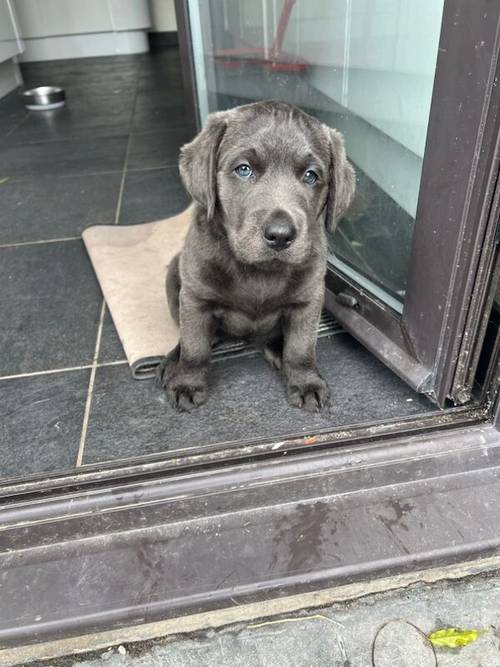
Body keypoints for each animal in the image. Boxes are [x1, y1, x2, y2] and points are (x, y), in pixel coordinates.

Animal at [157, 100, 356, 412]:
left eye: (311, 176)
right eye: (244, 169)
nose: (281, 235)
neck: (257, 270)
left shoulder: (308, 300)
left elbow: (301, 348)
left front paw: (306, 382)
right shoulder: (195, 298)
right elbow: (194, 346)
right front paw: (187, 382)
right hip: (173, 277)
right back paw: (172, 361)